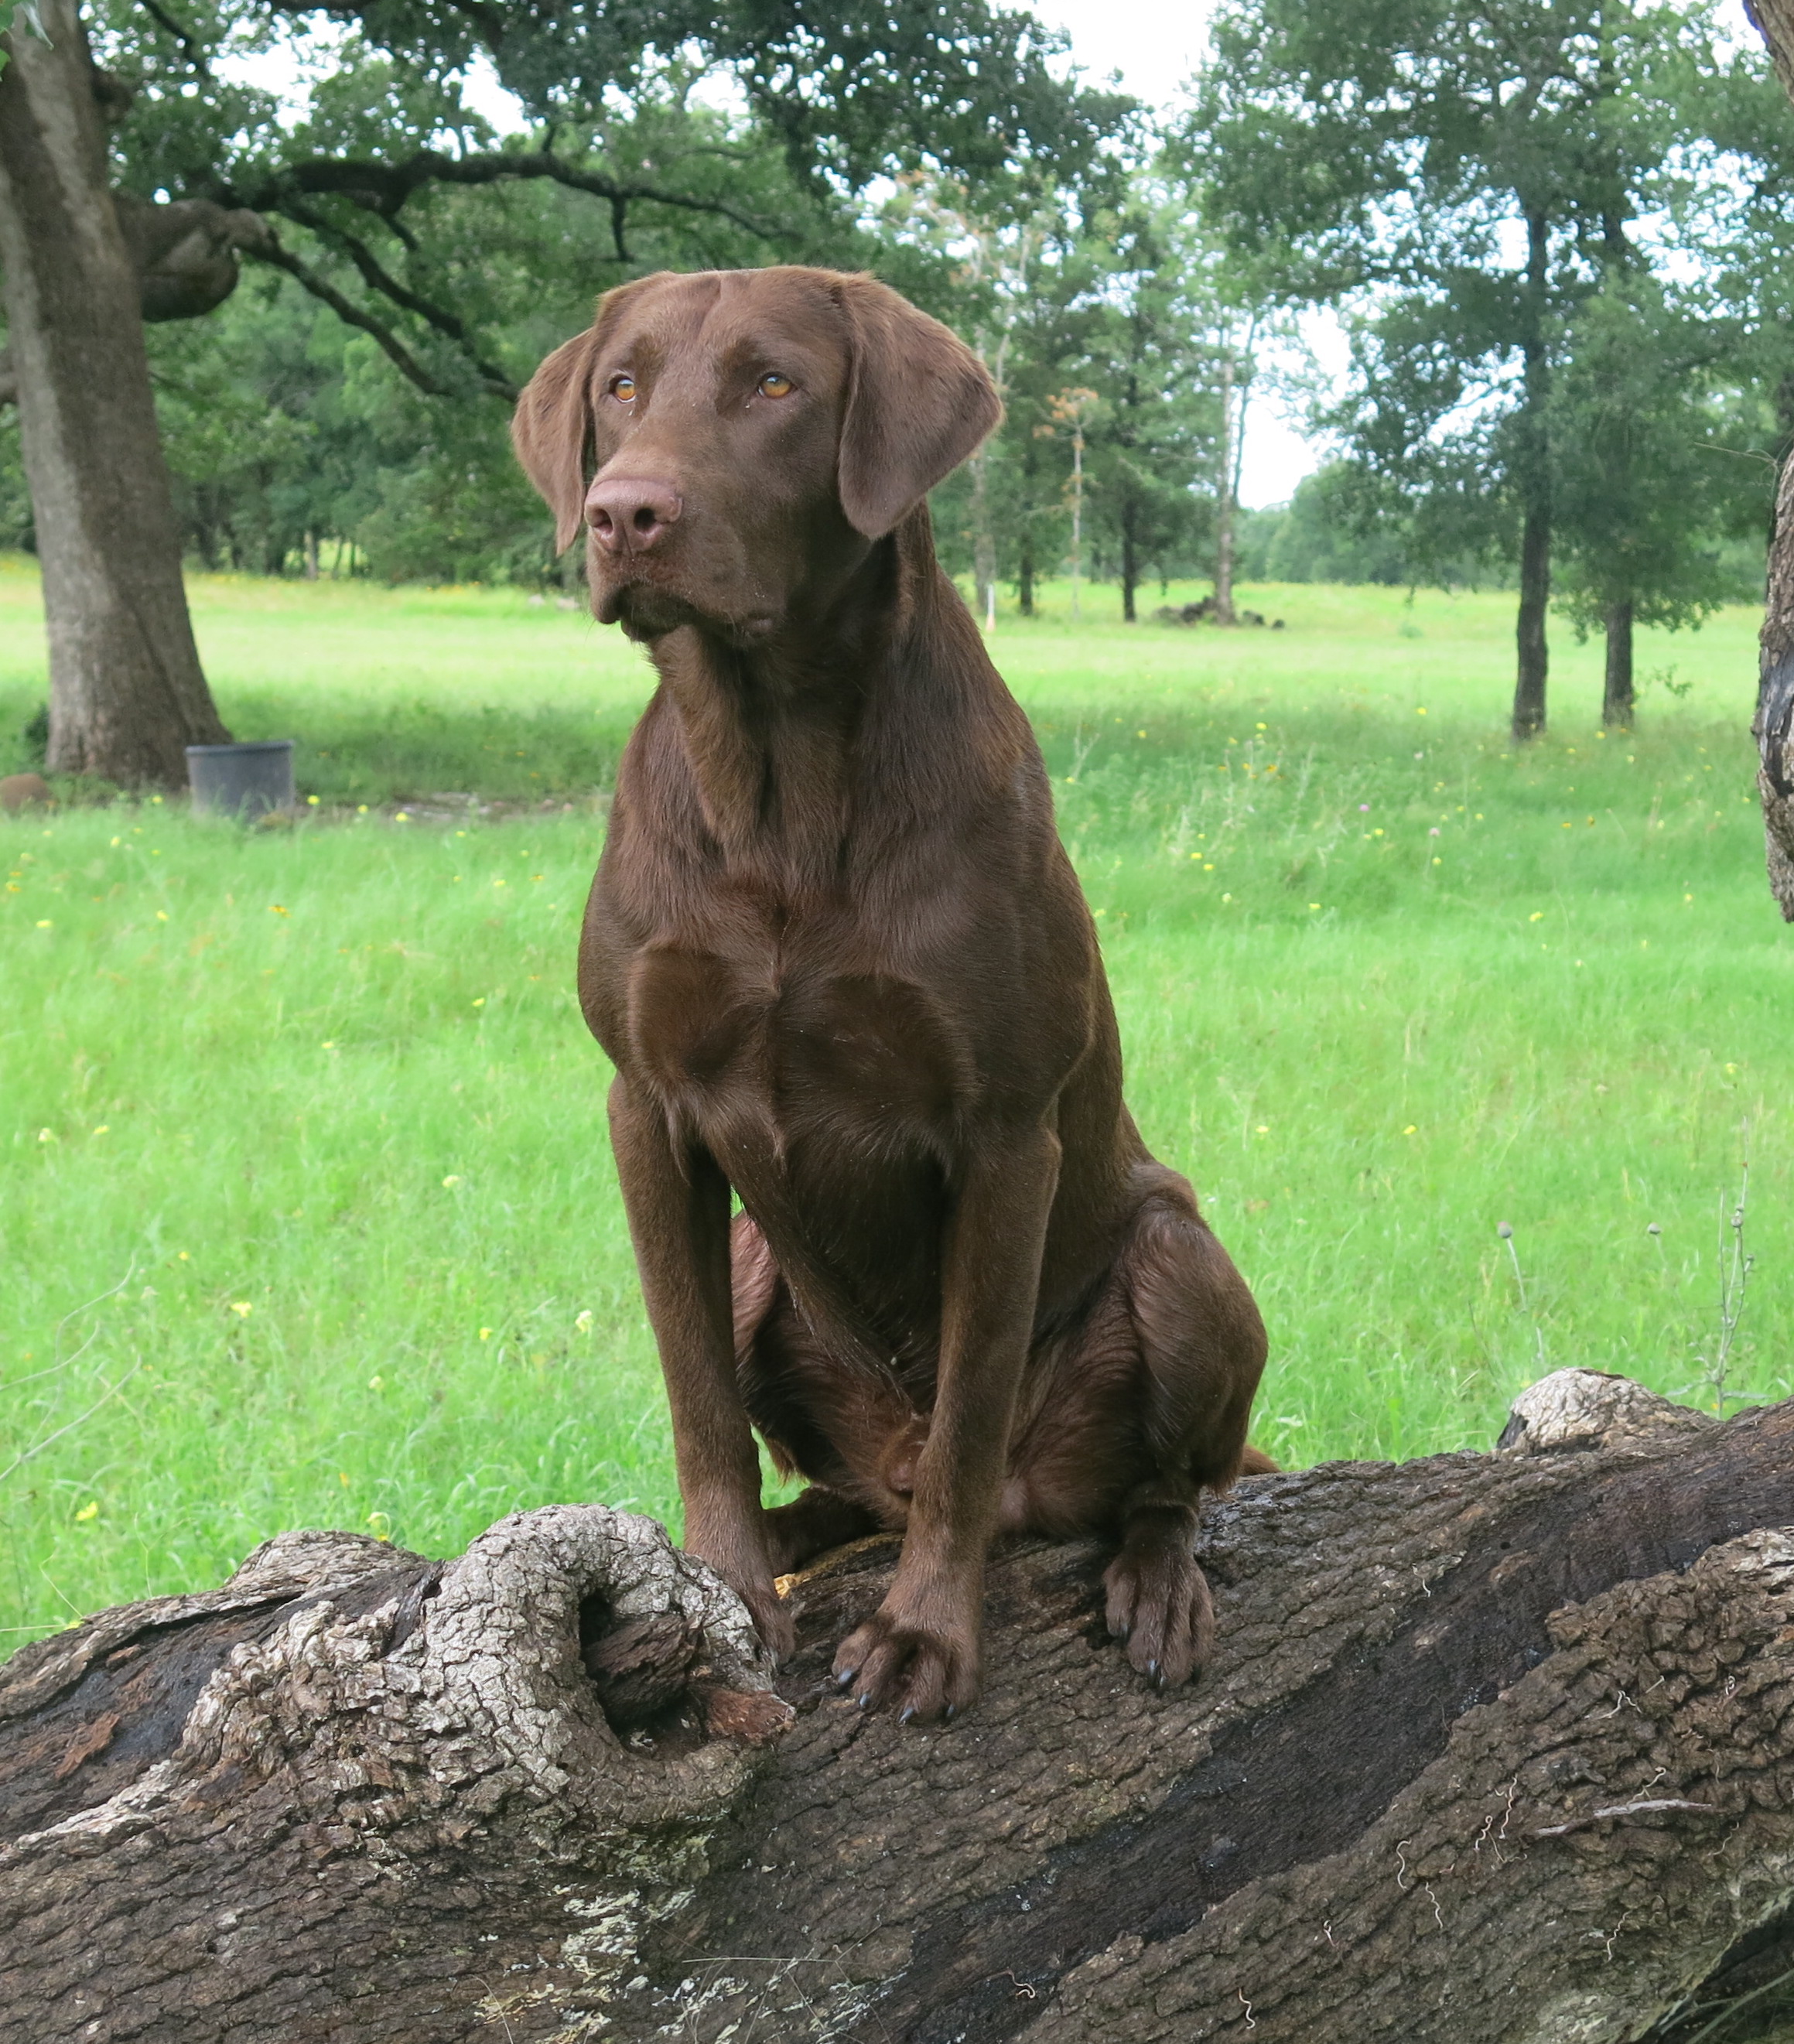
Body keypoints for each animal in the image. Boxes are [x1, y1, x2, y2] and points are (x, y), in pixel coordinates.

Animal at [517, 268, 1275, 1724]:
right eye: (621, 386)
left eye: (773, 385)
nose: (625, 512)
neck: (775, 776)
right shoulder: (646, 1106)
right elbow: (697, 1393)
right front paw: (718, 1591)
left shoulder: (1002, 1134)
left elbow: (970, 1414)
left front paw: (924, 1632)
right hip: (763, 1271)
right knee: (839, 1482)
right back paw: (792, 1538)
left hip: (1179, 1256)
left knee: (1161, 1484)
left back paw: (1154, 1578)